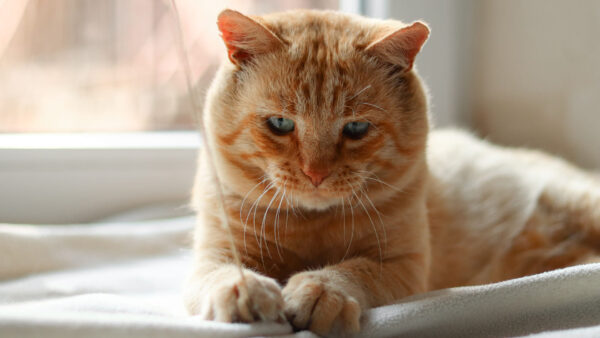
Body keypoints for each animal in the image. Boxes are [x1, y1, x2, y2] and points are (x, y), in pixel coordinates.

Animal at [183, 7, 600, 336]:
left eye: (356, 128)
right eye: (281, 124)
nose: (315, 173)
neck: (311, 225)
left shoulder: (402, 266)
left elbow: (353, 270)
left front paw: (322, 290)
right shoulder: (216, 252)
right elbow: (224, 273)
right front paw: (245, 291)